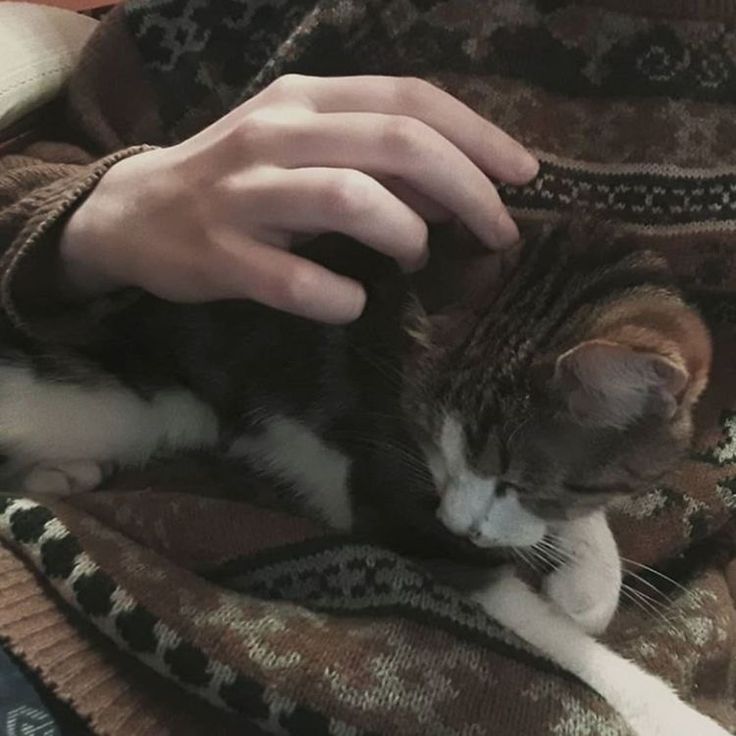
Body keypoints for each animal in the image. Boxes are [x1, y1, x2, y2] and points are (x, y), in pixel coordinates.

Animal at [0, 223, 724, 736]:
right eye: (433, 445)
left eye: (520, 481)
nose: (458, 523)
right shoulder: (393, 496)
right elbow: (536, 624)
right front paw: (666, 711)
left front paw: (588, 580)